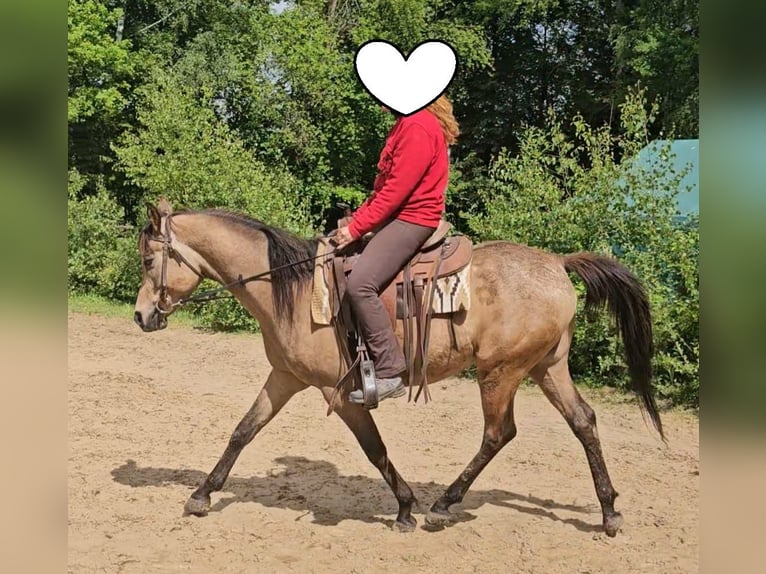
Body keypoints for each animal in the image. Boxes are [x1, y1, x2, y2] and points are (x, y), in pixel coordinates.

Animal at [133, 198, 663, 537]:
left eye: (148, 260)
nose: (140, 315)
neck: (292, 289)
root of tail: (556, 263)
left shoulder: (339, 392)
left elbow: (375, 449)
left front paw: (407, 507)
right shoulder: (286, 378)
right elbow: (243, 430)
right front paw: (202, 494)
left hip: (501, 372)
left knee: (499, 434)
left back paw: (443, 504)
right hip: (546, 367)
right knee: (583, 421)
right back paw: (609, 512)